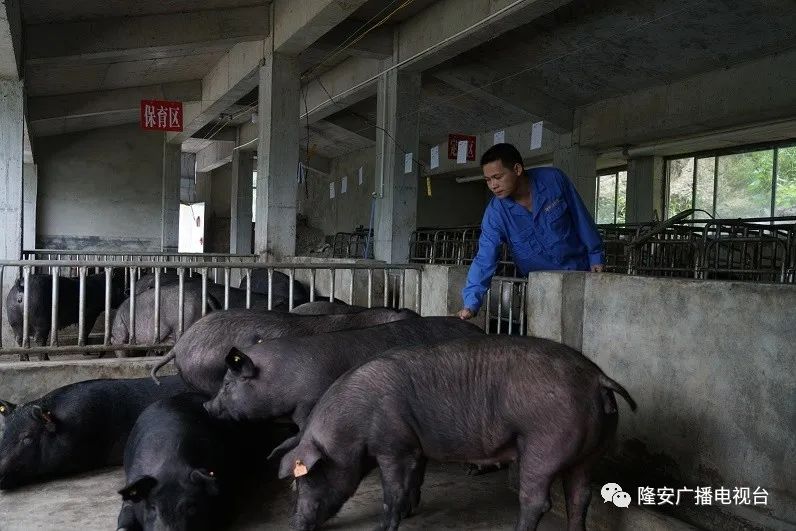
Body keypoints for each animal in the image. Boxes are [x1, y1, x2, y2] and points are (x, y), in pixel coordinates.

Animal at [276, 336, 636, 531]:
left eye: (307, 478)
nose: (293, 524)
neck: (350, 428)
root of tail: (596, 378)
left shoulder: (393, 446)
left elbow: (392, 490)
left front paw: (385, 525)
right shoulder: (414, 446)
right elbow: (414, 479)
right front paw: (410, 510)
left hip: (544, 444)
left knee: (536, 500)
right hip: (592, 451)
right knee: (580, 496)